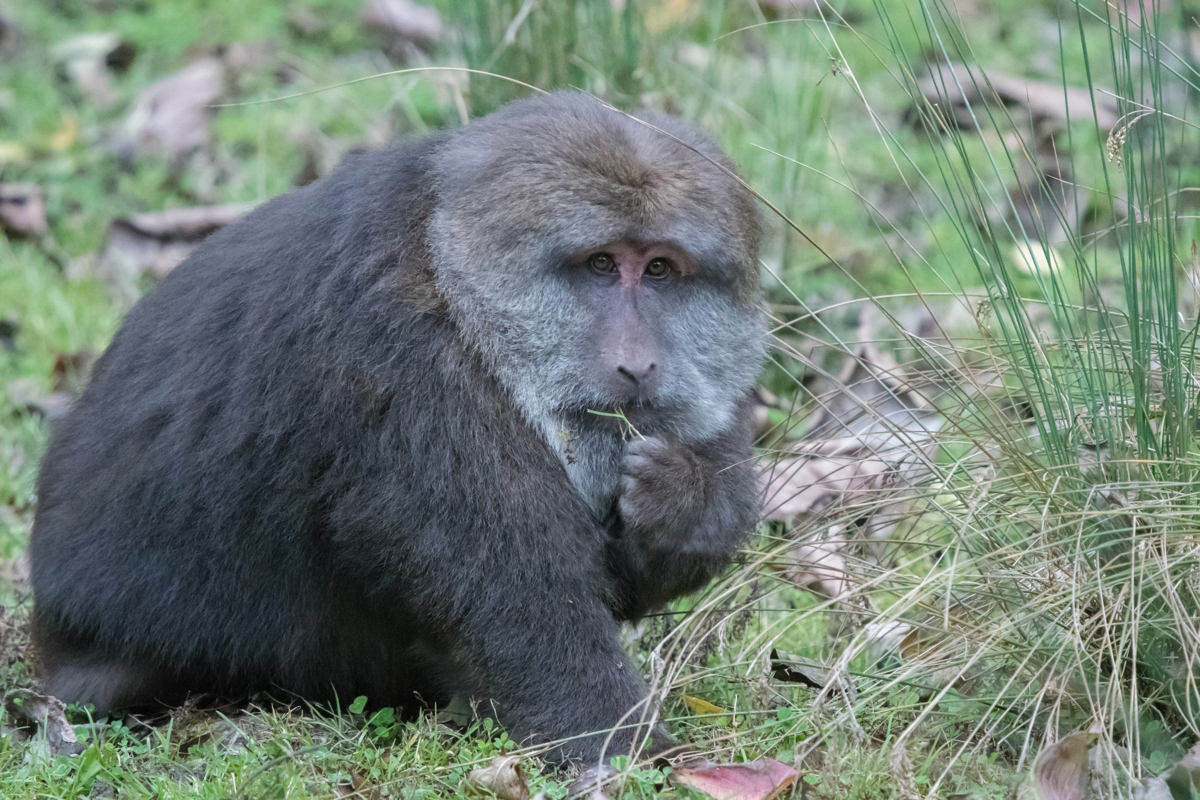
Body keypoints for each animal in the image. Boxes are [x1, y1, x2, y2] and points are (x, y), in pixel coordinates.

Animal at [30, 90, 768, 767]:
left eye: (660, 269)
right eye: (601, 265)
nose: (638, 363)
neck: (457, 287)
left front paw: (683, 500)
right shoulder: (406, 359)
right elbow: (511, 591)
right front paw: (625, 749)